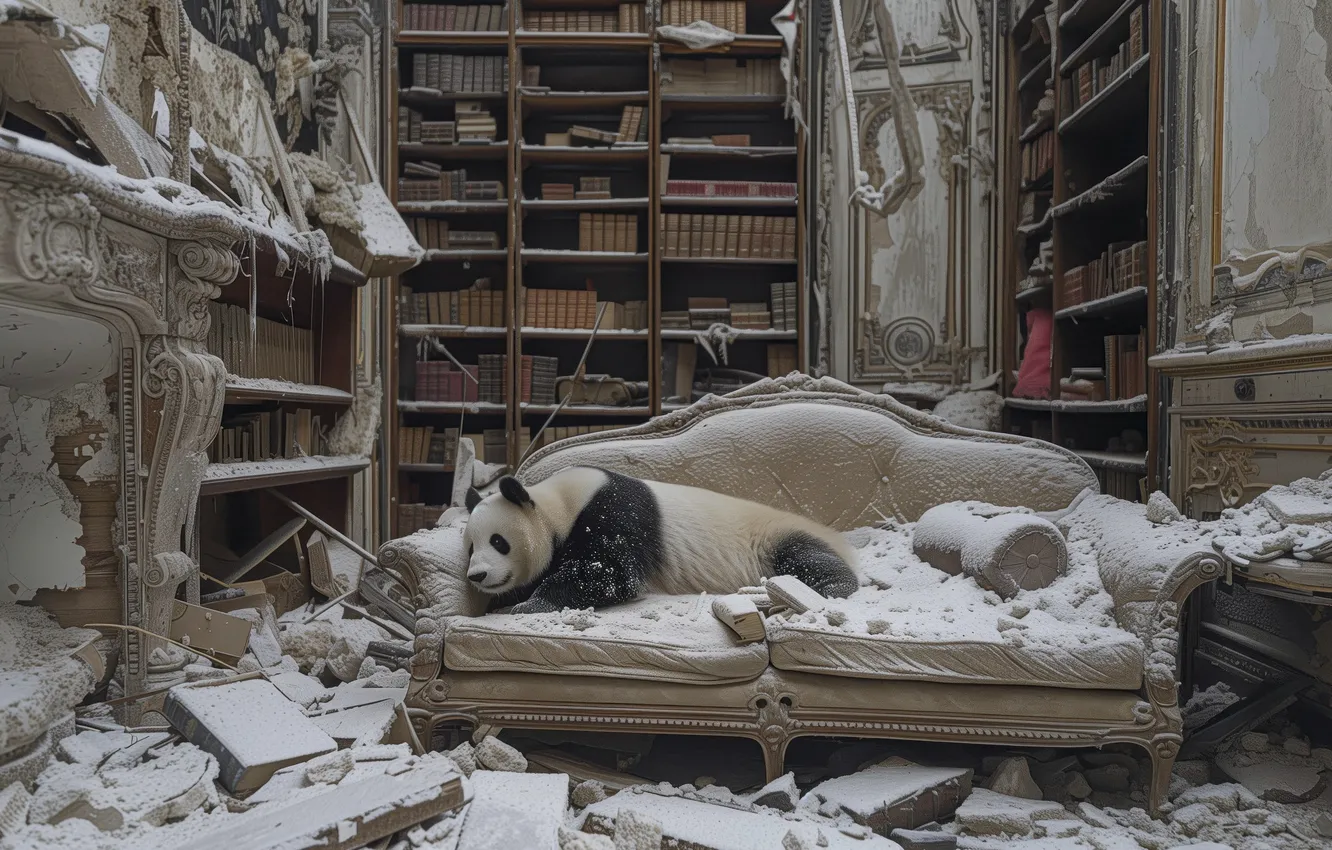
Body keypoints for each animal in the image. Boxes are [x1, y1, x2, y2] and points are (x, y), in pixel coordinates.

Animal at [463, 466, 860, 614]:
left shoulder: (613, 512)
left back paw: (831, 588)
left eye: (499, 542)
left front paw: (530, 604)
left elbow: (610, 574)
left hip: (770, 538)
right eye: (470, 546)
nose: (477, 576)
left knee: (806, 557)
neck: (556, 505)